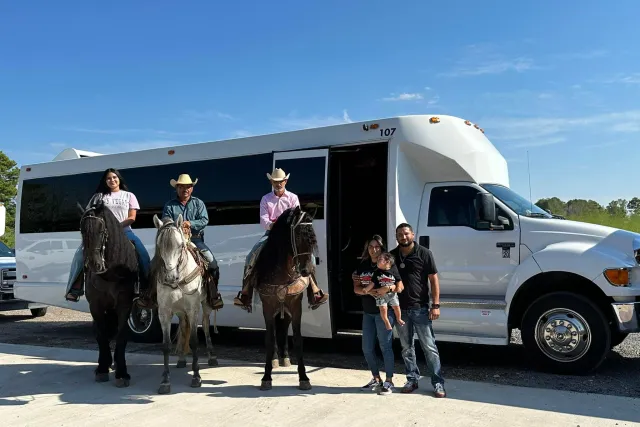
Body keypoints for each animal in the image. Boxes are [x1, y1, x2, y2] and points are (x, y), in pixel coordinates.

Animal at [79, 200, 139, 388]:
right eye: (82, 230)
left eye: (101, 230)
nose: (93, 264)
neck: (111, 273)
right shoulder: (95, 306)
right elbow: (102, 336)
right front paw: (102, 369)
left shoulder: (124, 305)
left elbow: (121, 336)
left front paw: (122, 374)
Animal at [151, 216, 219, 396]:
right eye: (159, 246)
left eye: (180, 245)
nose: (170, 277)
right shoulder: (164, 312)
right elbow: (166, 345)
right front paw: (165, 381)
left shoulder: (192, 309)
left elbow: (195, 341)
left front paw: (196, 377)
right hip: (180, 311)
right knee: (183, 326)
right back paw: (181, 359)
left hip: (205, 305)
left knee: (206, 325)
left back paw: (212, 357)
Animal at [245, 206, 320, 392]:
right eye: (298, 236)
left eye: (313, 237)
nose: (307, 270)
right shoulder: (268, 306)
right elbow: (269, 339)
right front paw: (266, 378)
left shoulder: (295, 305)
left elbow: (298, 339)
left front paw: (304, 378)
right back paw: (274, 360)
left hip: (285, 307)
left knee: (284, 327)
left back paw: (285, 358)